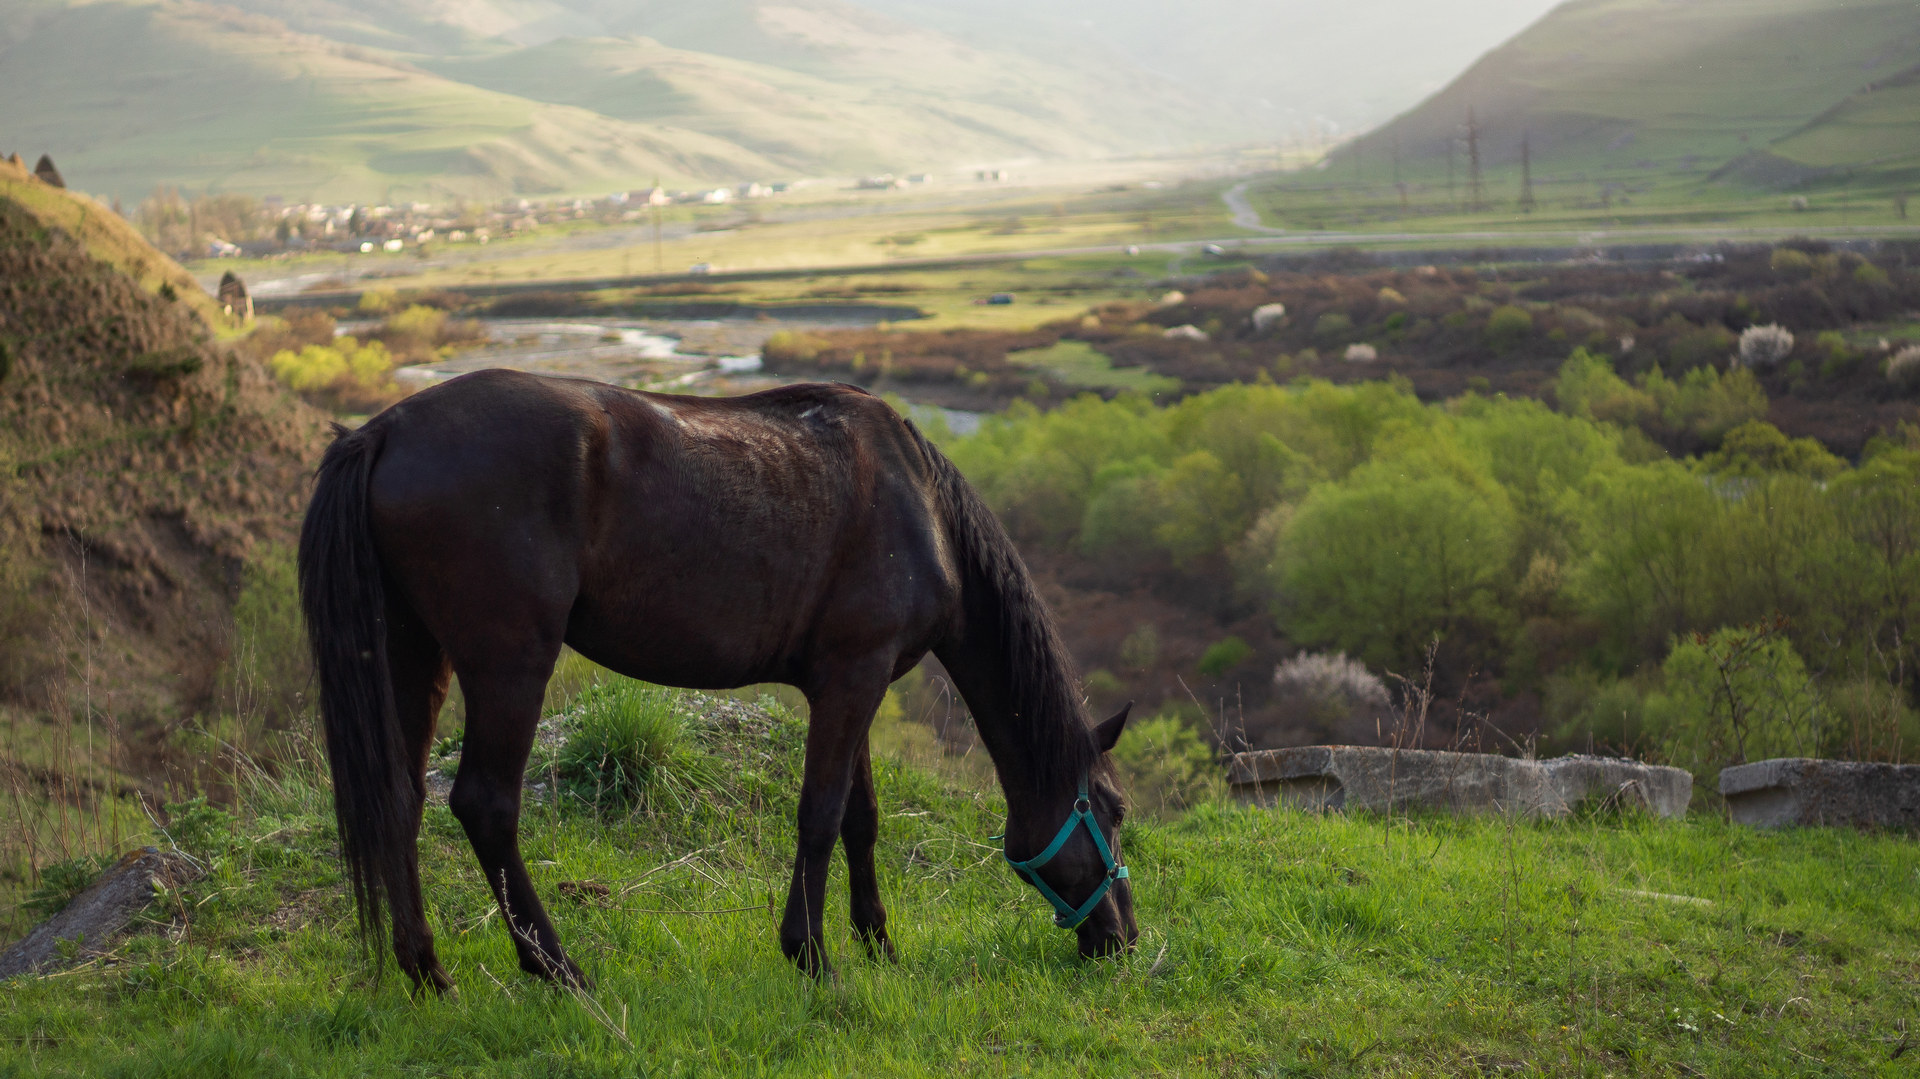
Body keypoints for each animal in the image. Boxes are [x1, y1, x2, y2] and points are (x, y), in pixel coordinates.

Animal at [299, 364, 1136, 990]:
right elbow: (820, 815)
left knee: (400, 799)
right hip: (510, 662)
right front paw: (812, 953)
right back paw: (557, 968)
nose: (1124, 936)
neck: (920, 504)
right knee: (484, 804)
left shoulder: (854, 682)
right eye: (1115, 809)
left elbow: (860, 816)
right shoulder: (853, 678)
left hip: (413, 653)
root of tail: (383, 429)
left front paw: (878, 943)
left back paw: (427, 970)